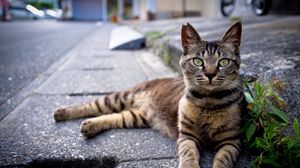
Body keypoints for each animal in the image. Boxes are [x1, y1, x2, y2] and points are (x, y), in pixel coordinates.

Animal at [54, 21, 245, 167]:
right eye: (198, 61)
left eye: (223, 62)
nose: (210, 74)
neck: (209, 101)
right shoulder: (186, 137)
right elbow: (189, 155)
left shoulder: (231, 141)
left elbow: (223, 160)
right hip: (119, 98)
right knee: (92, 105)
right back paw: (62, 113)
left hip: (135, 117)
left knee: (113, 116)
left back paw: (90, 125)